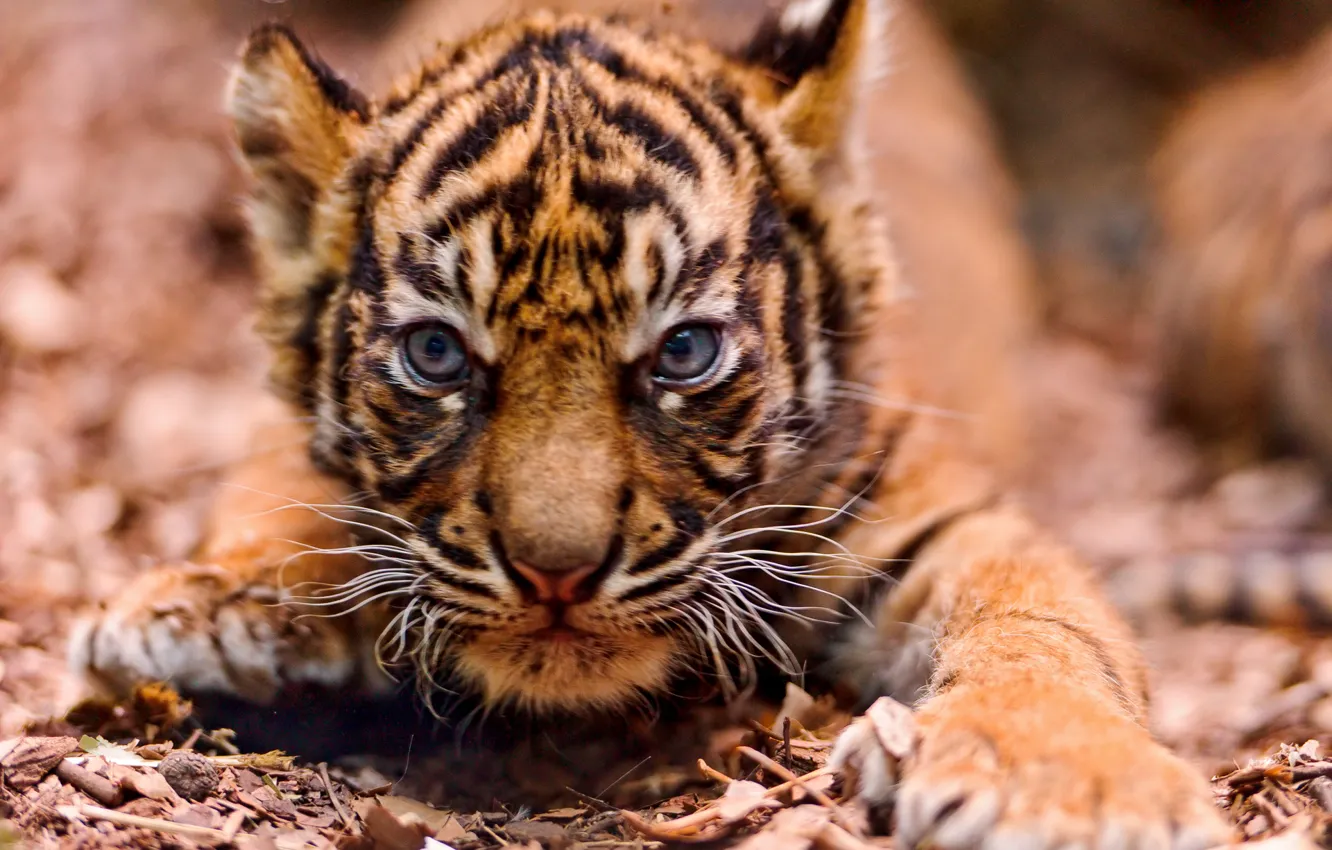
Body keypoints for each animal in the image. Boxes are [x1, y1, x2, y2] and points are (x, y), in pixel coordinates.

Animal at [68, 0, 1229, 846]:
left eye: (684, 352)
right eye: (437, 353)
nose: (557, 575)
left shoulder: (945, 518)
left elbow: (1043, 625)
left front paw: (1068, 784)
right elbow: (279, 473)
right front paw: (210, 602)